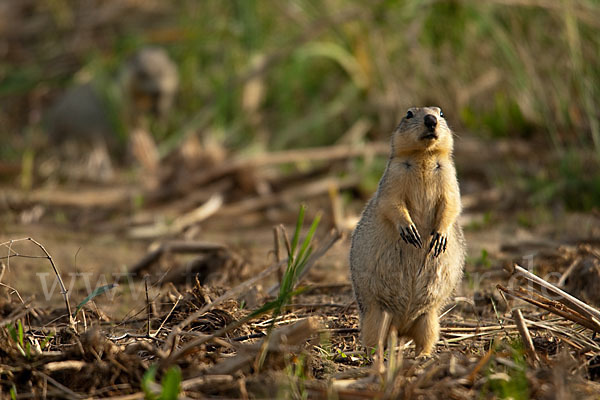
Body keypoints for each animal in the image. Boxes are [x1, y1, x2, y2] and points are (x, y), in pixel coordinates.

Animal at [350, 106, 466, 356]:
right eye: (409, 113)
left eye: (441, 113)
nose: (431, 119)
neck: (423, 157)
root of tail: (402, 328)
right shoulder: (393, 177)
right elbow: (391, 202)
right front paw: (409, 230)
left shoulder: (450, 177)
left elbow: (451, 203)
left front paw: (439, 238)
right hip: (376, 315)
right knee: (374, 338)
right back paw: (376, 354)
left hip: (429, 319)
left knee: (426, 338)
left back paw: (424, 355)